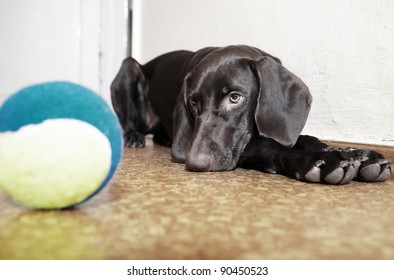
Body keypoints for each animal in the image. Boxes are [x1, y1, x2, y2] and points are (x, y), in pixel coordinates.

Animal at [111, 45, 390, 185]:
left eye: (235, 97)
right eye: (193, 102)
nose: (195, 163)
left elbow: (306, 139)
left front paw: (357, 155)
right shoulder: (242, 147)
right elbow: (270, 148)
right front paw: (317, 162)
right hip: (128, 66)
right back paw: (134, 137)